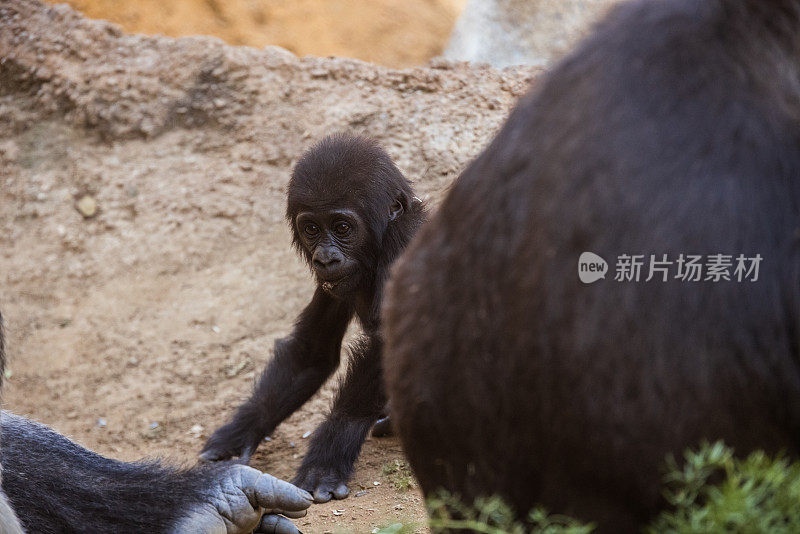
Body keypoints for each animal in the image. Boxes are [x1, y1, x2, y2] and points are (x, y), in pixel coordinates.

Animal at [200, 133, 424, 502]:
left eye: (343, 227)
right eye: (312, 228)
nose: (326, 258)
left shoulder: (404, 247)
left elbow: (386, 342)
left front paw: (329, 453)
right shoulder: (329, 284)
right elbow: (311, 353)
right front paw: (240, 433)